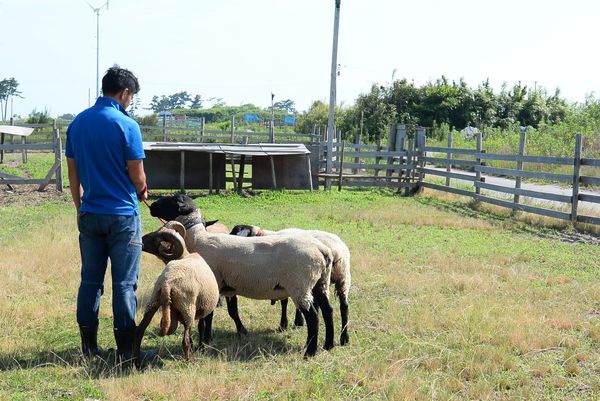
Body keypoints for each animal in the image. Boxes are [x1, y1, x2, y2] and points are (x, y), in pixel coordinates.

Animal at [135, 220, 219, 360]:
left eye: (156, 238)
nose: (140, 241)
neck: (185, 256)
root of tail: (167, 283)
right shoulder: (202, 307)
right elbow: (201, 328)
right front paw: (201, 347)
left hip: (153, 301)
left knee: (139, 331)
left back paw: (135, 360)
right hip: (188, 308)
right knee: (185, 340)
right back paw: (190, 360)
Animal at [149, 194, 338, 356]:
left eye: (172, 199)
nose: (152, 206)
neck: (198, 239)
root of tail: (322, 249)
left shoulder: (213, 284)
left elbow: (207, 318)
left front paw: (204, 343)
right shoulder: (226, 288)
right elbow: (226, 313)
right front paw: (216, 338)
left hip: (300, 285)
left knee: (313, 317)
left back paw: (310, 352)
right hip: (320, 283)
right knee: (328, 310)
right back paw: (328, 345)